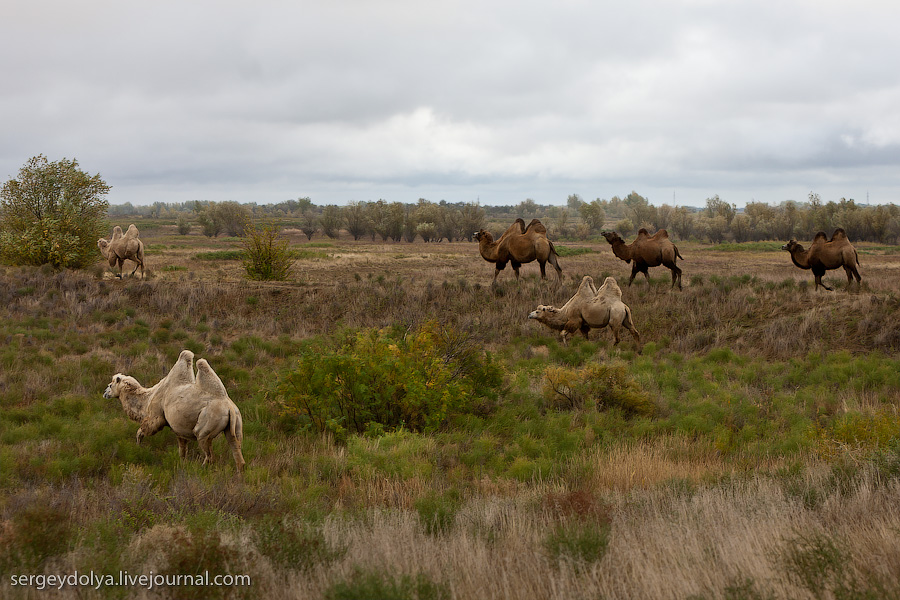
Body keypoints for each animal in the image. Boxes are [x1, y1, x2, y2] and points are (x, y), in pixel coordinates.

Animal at [103, 350, 246, 472]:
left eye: (110, 385)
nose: (105, 393)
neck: (148, 398)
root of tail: (229, 408)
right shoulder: (179, 430)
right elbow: (182, 452)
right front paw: (182, 465)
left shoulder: (156, 416)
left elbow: (141, 432)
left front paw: (137, 449)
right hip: (236, 425)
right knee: (237, 451)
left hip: (206, 426)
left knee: (209, 453)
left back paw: (200, 470)